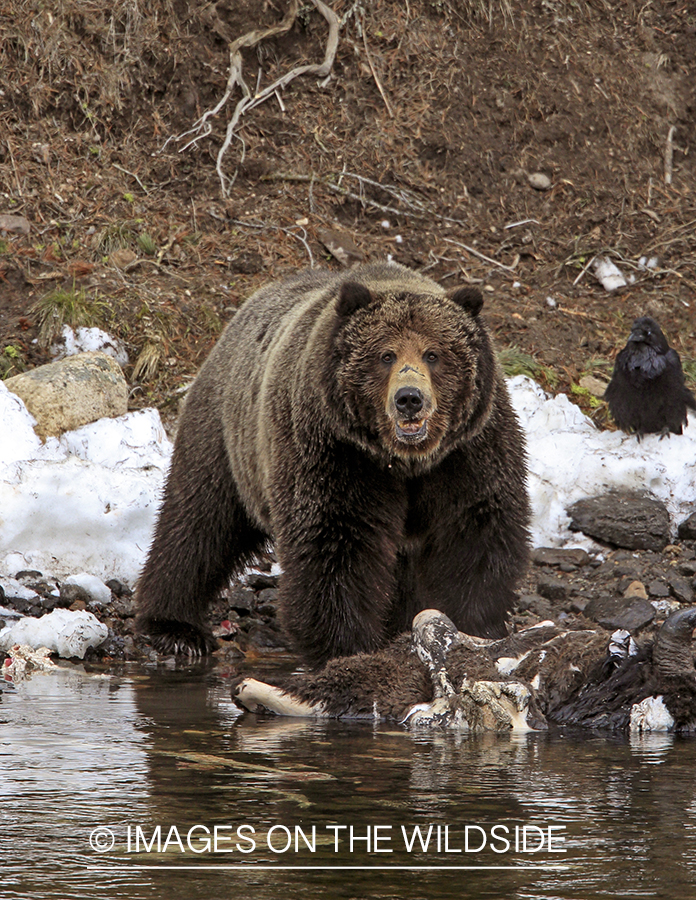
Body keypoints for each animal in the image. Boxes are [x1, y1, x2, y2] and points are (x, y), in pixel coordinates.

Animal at [135, 262, 528, 668]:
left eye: (433, 354)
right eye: (385, 355)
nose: (409, 399)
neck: (406, 461)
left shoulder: (468, 452)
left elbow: (474, 533)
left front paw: (474, 628)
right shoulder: (335, 450)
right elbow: (335, 540)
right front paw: (347, 647)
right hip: (226, 437)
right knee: (198, 520)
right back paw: (175, 628)